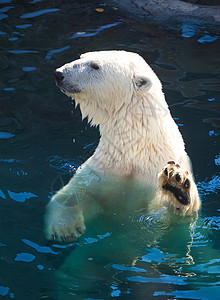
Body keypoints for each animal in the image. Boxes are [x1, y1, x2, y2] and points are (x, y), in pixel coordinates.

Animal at [45, 49, 201, 241]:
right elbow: (74, 194)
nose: (59, 74)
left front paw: (177, 187)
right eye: (82, 57)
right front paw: (65, 229)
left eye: (95, 66)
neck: (137, 150)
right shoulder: (105, 169)